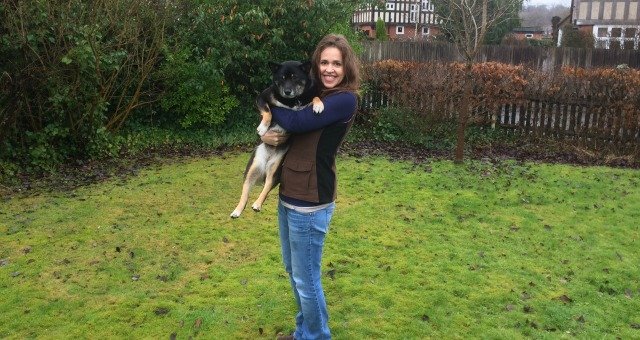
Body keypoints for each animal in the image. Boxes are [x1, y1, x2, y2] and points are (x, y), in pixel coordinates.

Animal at [229, 60, 322, 218]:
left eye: (295, 77)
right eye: (282, 78)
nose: (287, 91)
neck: (292, 101)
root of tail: (266, 163)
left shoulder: (302, 108)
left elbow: (315, 97)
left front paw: (319, 104)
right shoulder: (262, 97)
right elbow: (268, 111)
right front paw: (263, 127)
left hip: (275, 170)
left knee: (266, 188)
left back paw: (257, 204)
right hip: (251, 170)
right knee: (245, 193)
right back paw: (237, 210)